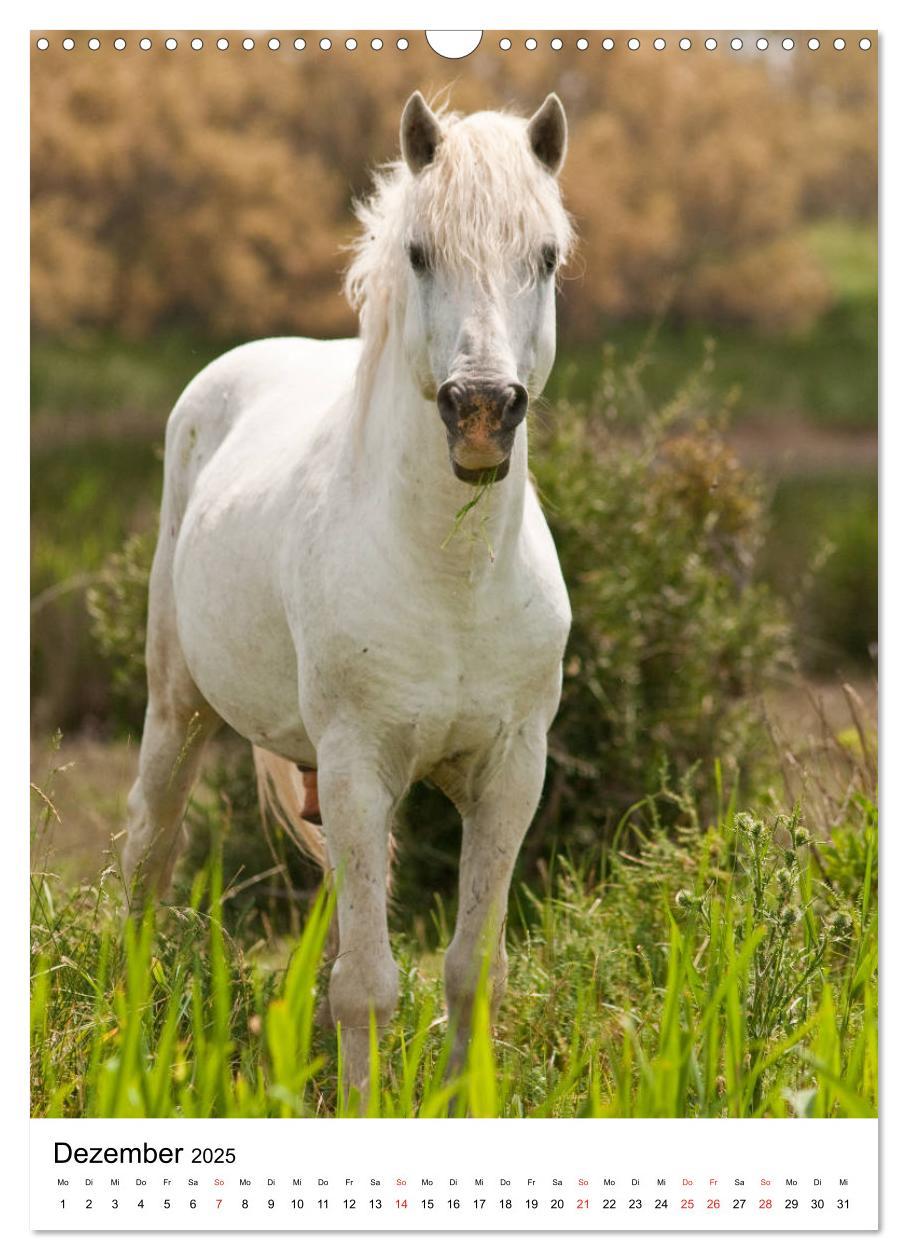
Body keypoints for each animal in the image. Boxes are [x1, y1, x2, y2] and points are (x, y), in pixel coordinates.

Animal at [122, 91, 574, 1093]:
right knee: (146, 862)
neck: (452, 582)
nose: (480, 413)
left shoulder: (511, 772)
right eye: (420, 252)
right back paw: (119, 1039)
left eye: (545, 256)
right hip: (178, 710)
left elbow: (470, 971)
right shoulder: (359, 765)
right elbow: (368, 985)